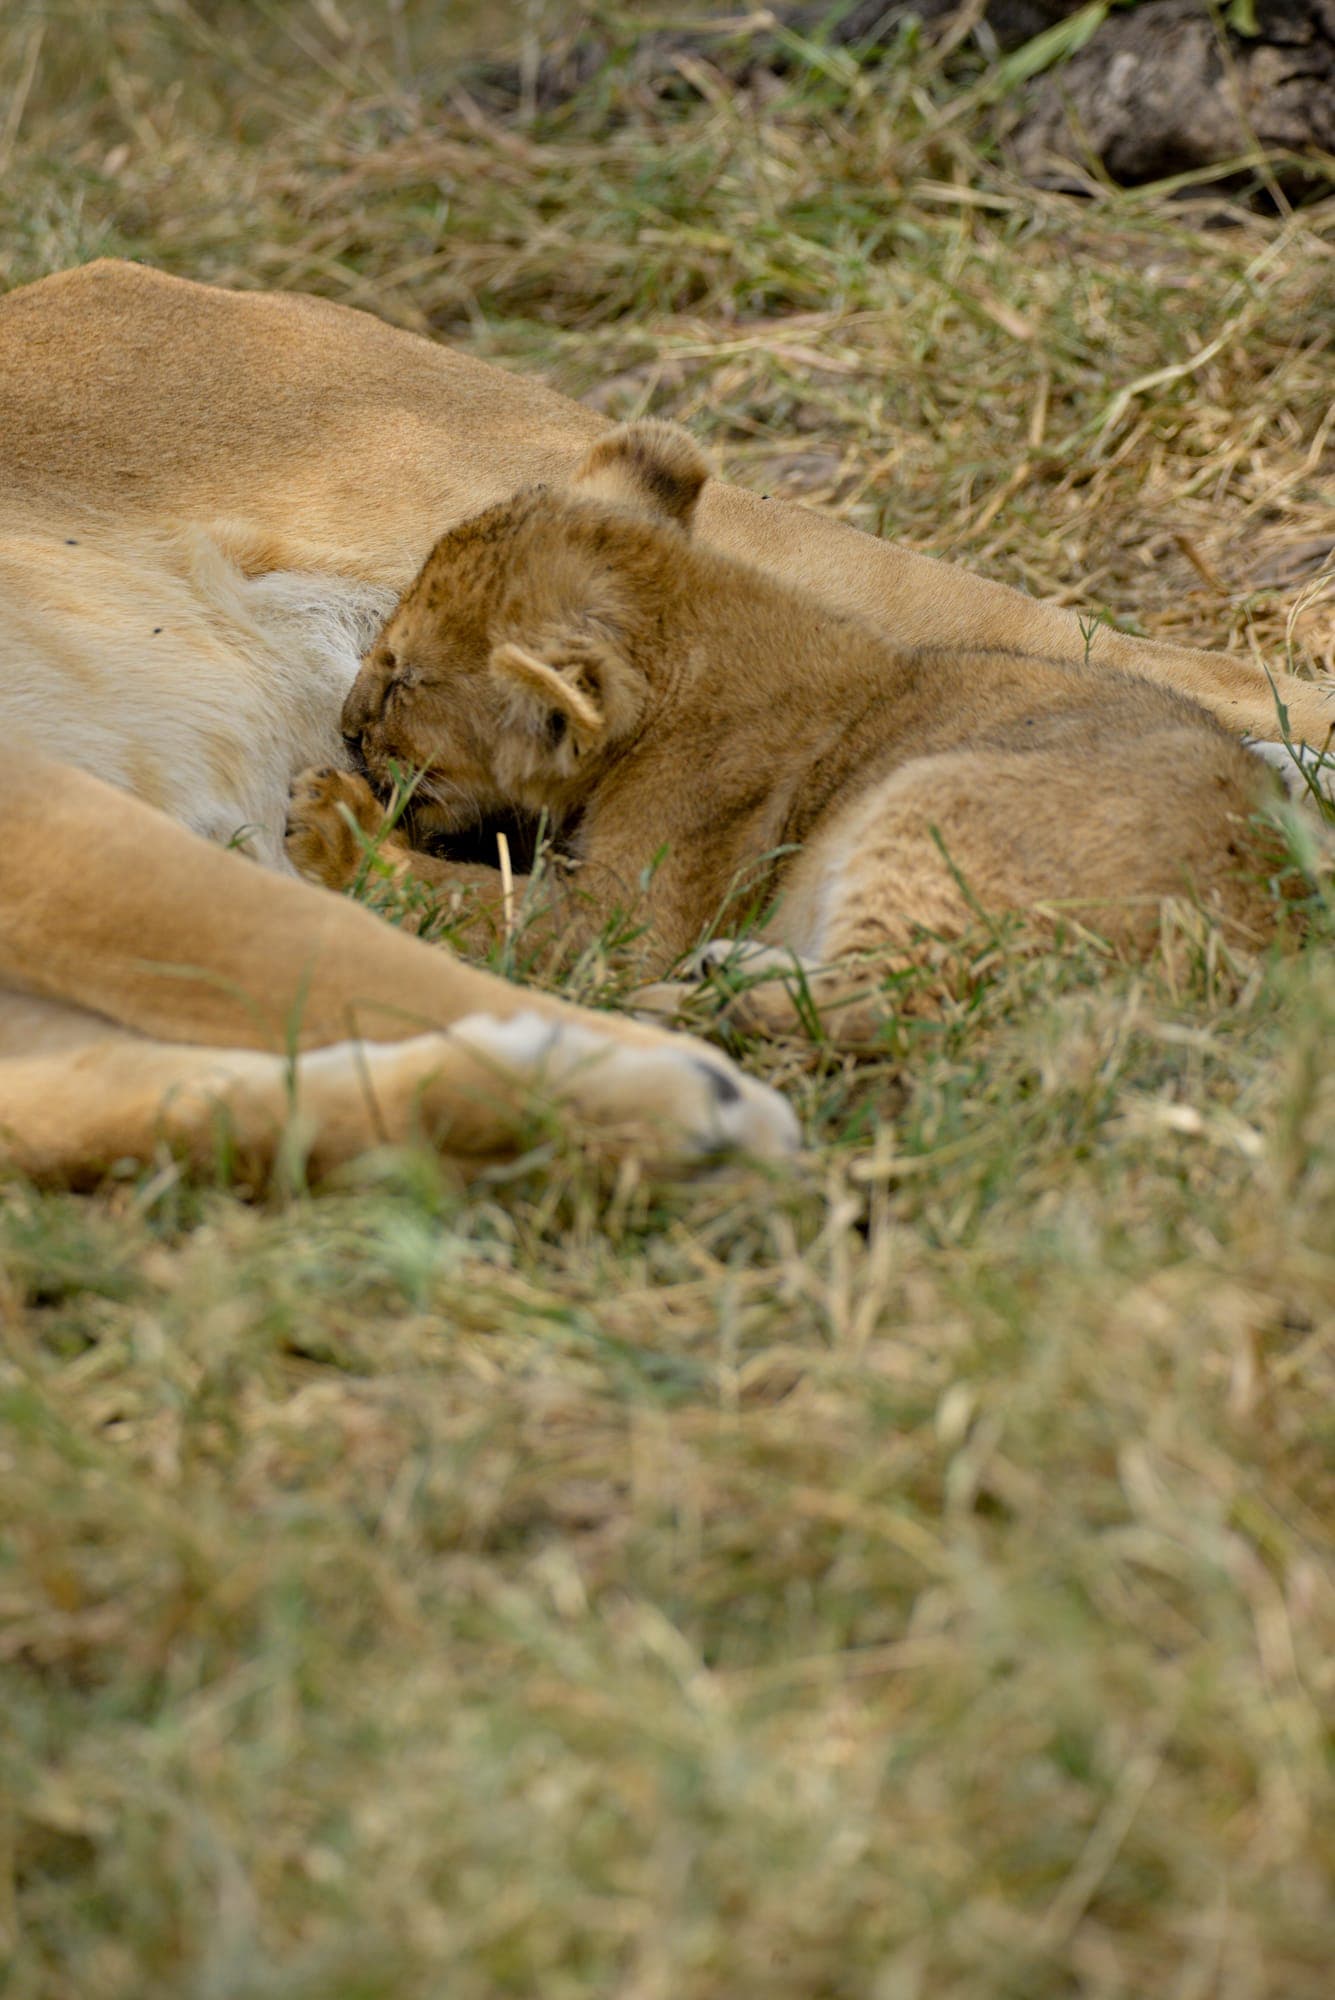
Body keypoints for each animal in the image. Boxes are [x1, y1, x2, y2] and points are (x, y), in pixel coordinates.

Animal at [287, 420, 1312, 1040]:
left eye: (399, 680)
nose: (342, 728)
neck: (696, 627)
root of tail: (1264, 937)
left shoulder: (632, 915)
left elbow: (485, 905)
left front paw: (334, 827)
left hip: (927, 803)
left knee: (897, 1005)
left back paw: (693, 996)